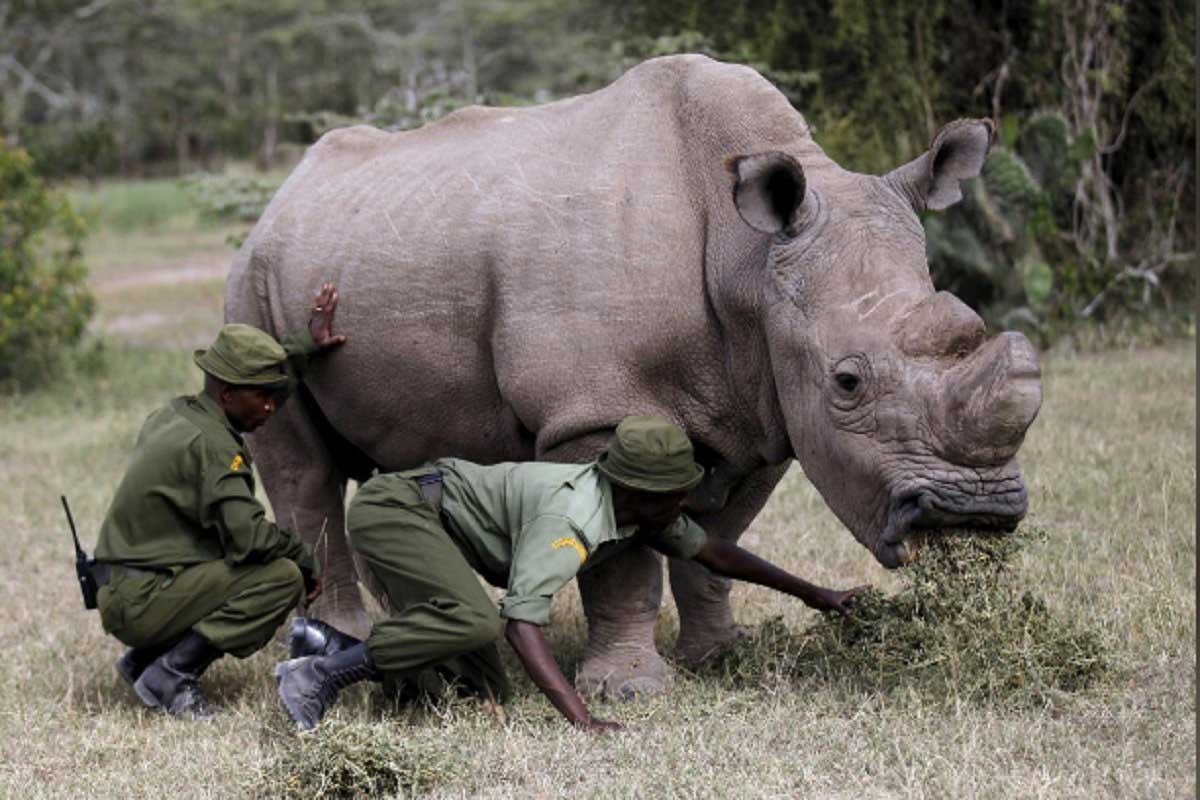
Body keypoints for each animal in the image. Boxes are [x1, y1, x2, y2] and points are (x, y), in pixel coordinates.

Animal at [224, 54, 1041, 698]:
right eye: (848, 383)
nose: (974, 513)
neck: (747, 259)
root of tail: (283, 193)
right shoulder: (594, 411)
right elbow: (620, 561)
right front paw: (630, 690)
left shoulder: (760, 407)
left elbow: (717, 537)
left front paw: (720, 658)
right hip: (254, 284)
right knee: (303, 471)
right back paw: (338, 643)